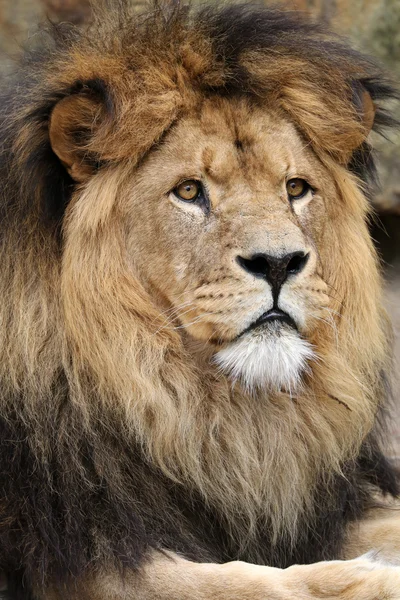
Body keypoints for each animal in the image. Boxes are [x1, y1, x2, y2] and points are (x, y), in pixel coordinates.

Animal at [0, 0, 400, 596]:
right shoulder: (75, 554)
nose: (278, 263)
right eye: (189, 191)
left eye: (296, 188)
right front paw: (370, 579)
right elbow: (246, 583)